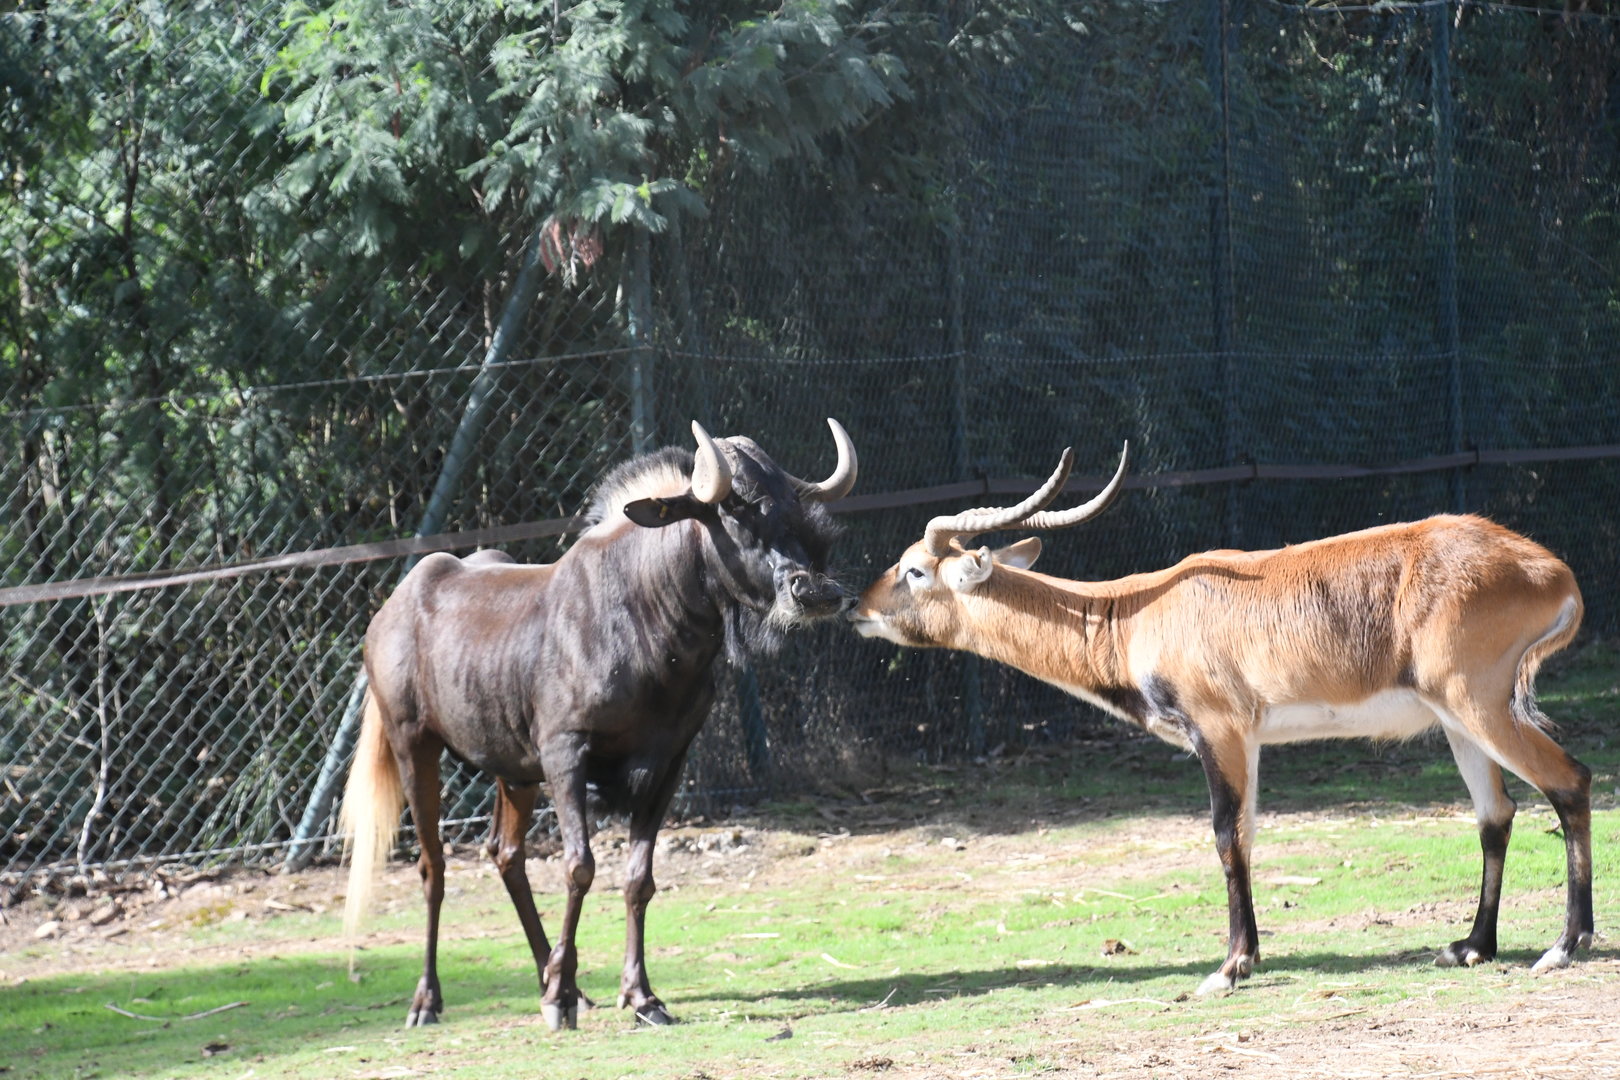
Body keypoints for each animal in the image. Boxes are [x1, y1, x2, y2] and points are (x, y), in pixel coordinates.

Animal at [848, 443, 1593, 995]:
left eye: (915, 571)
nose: (855, 607)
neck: (1133, 614)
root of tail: (1551, 569)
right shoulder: (1252, 741)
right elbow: (1250, 837)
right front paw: (1249, 958)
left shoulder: (1219, 732)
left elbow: (1224, 836)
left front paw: (1228, 969)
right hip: (1457, 723)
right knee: (1496, 814)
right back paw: (1470, 947)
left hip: (1478, 705)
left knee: (1569, 781)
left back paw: (1564, 946)